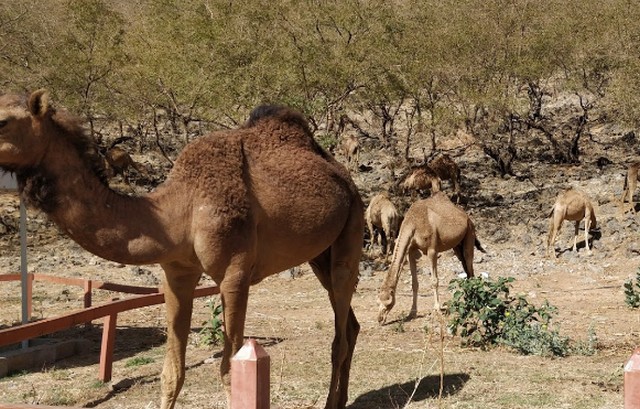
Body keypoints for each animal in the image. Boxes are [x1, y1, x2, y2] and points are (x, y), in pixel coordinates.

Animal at [0, 90, 362, 408]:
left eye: (3, 120)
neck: (179, 210)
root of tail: (343, 174)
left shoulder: (235, 274)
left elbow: (229, 371)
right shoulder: (176, 273)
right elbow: (171, 373)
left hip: (351, 230)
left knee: (340, 333)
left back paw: (331, 403)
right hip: (319, 256)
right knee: (350, 326)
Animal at [376, 190, 484, 322]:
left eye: (388, 303)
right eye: (378, 301)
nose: (380, 319)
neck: (413, 222)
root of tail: (467, 217)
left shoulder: (432, 250)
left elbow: (434, 280)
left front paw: (437, 309)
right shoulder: (411, 250)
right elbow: (414, 283)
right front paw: (411, 313)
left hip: (469, 233)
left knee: (470, 265)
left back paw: (473, 303)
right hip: (457, 245)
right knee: (467, 269)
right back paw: (467, 300)